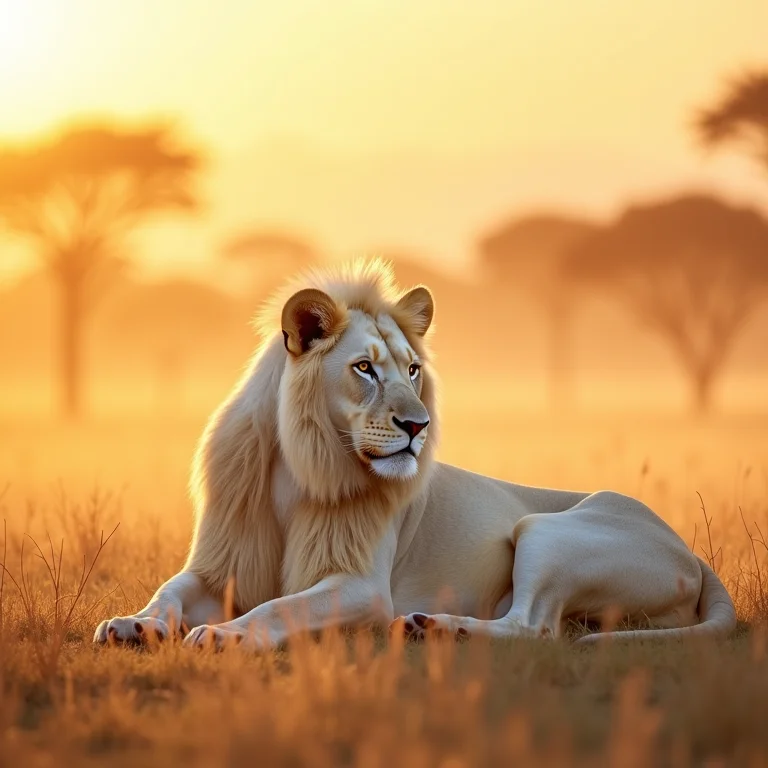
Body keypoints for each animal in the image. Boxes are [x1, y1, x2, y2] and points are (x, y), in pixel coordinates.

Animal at [94, 259, 736, 649]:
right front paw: (132, 624)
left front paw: (228, 635)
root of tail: (690, 551)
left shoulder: (362, 586)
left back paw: (436, 626)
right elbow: (169, 592)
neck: (297, 470)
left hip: (543, 530)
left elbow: (282, 607)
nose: (417, 425)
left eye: (411, 370)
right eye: (364, 369)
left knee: (536, 627)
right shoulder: (219, 568)